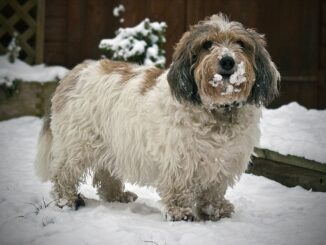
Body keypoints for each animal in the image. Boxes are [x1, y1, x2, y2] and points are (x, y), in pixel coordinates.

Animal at [35, 13, 280, 222]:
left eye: (241, 44)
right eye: (207, 44)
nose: (227, 61)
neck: (217, 111)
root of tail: (73, 73)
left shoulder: (224, 162)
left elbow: (213, 191)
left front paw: (215, 210)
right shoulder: (180, 160)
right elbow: (179, 188)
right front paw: (180, 212)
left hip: (110, 144)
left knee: (106, 174)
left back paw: (117, 196)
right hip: (77, 144)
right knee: (63, 173)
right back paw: (67, 200)